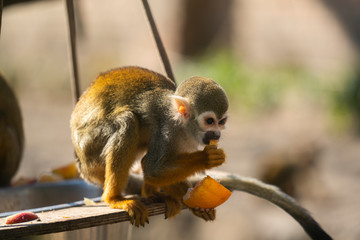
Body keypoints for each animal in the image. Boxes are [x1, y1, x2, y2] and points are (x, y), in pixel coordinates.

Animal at [70, 66, 228, 227]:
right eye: (209, 121)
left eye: (221, 121)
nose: (216, 134)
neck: (183, 126)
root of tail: (80, 162)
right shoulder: (166, 130)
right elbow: (152, 169)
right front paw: (206, 157)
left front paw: (194, 201)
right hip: (89, 143)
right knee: (127, 121)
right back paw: (114, 199)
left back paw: (152, 194)